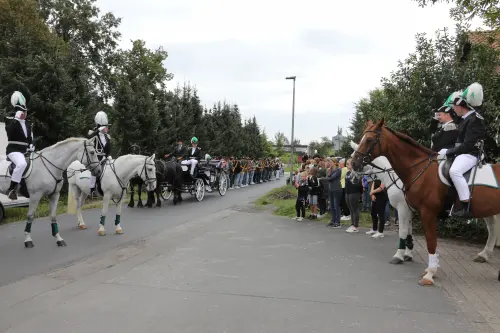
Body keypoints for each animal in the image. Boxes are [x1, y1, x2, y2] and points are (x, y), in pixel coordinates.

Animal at [350, 118, 500, 284]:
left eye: (369, 140)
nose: (353, 165)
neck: (418, 169)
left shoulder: (418, 211)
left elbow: (419, 236)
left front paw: (419, 266)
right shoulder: (409, 208)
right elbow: (408, 231)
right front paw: (407, 253)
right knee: (492, 227)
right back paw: (484, 255)